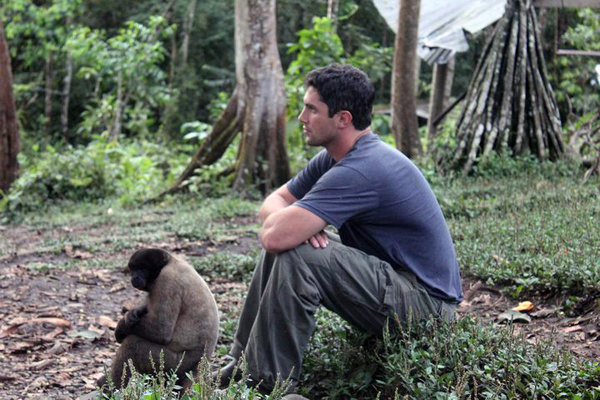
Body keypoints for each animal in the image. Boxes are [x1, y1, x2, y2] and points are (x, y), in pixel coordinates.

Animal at [97, 248, 219, 392]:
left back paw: (110, 388)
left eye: (143, 269)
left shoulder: (165, 281)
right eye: (134, 269)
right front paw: (133, 313)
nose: (135, 277)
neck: (170, 261)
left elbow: (161, 330)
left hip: (175, 363)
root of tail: (201, 363)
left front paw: (121, 327)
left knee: (132, 344)